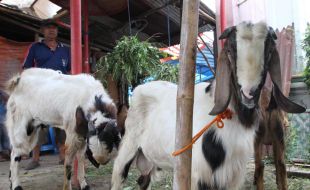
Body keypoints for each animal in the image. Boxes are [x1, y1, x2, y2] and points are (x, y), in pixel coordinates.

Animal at [111, 22, 306, 190]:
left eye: (268, 50)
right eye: (231, 49)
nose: (249, 93)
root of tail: (139, 89)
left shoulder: (234, 175)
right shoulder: (198, 175)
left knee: (143, 180)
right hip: (128, 146)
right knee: (118, 176)